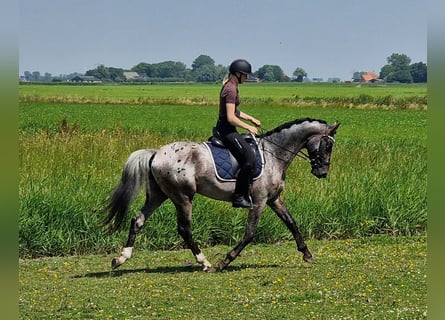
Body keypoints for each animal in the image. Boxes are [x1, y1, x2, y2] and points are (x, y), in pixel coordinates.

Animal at [102, 117, 340, 272]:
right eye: (328, 145)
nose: (322, 172)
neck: (275, 153)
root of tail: (155, 154)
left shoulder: (274, 199)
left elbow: (291, 223)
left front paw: (307, 254)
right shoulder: (259, 201)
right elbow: (250, 233)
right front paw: (226, 260)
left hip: (158, 195)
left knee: (138, 220)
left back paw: (120, 259)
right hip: (182, 197)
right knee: (184, 229)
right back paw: (205, 263)